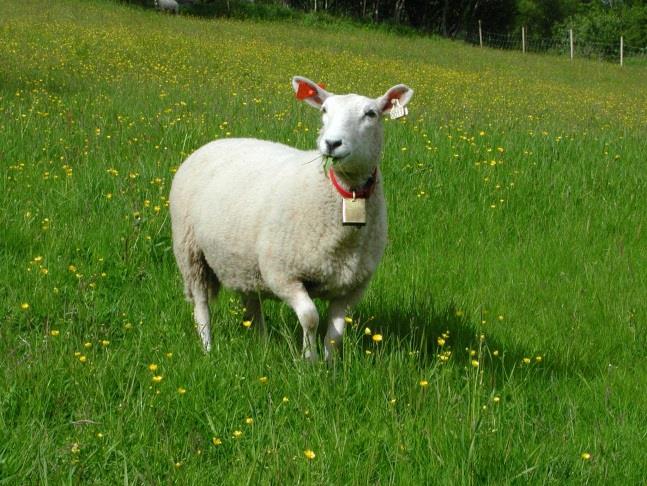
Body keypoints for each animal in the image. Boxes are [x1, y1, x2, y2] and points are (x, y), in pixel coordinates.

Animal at [171, 74, 416, 358]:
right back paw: (208, 348)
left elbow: (335, 334)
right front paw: (308, 360)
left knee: (252, 304)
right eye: (324, 110)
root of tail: (215, 142)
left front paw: (330, 364)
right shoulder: (282, 274)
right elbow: (310, 318)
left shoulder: (351, 286)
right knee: (201, 305)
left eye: (371, 114)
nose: (331, 143)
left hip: (243, 262)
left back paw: (263, 346)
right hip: (190, 252)